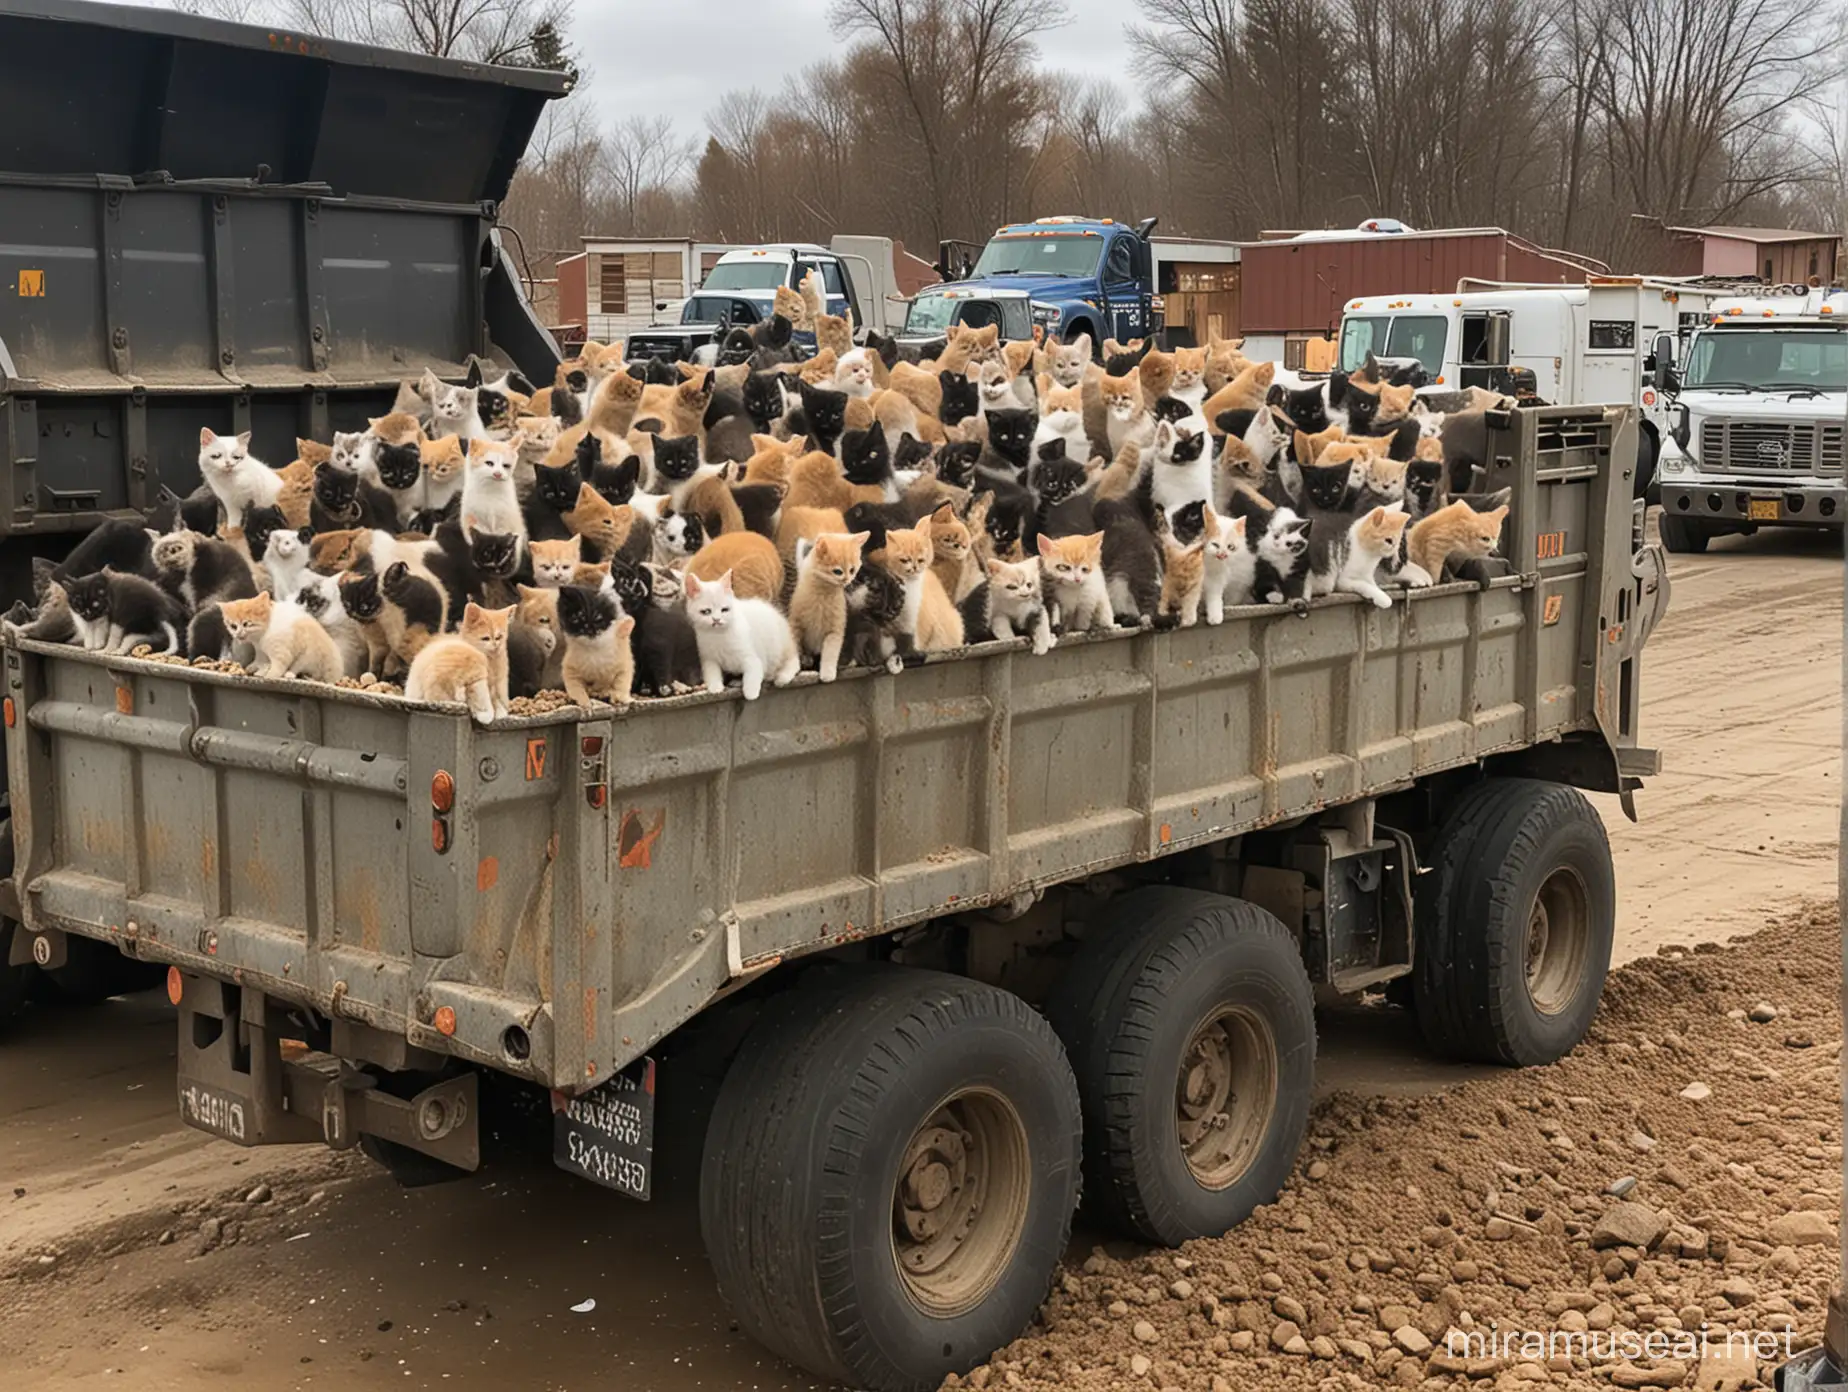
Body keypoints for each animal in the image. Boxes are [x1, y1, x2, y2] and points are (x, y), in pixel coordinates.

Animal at [790, 528, 868, 680]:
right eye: (838, 571)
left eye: (852, 570)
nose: (847, 580)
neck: (823, 593)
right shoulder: (796, 624)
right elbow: (795, 647)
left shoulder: (835, 629)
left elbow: (830, 653)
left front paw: (827, 673)